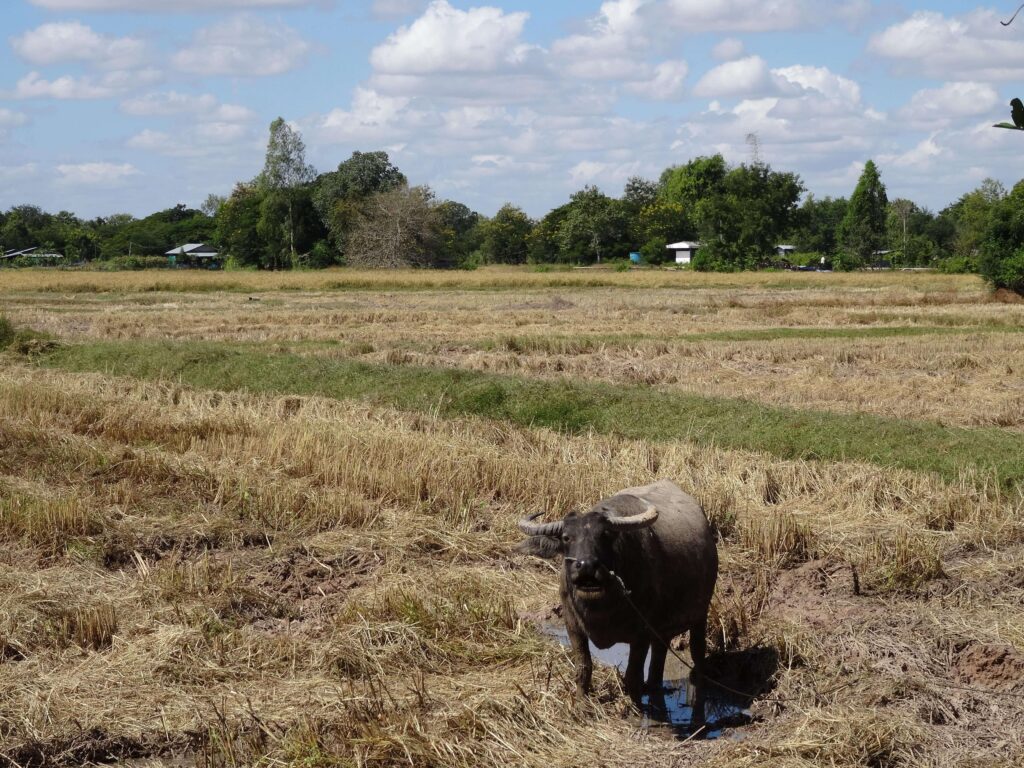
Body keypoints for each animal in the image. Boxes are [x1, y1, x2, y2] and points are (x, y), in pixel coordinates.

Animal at [516, 481, 716, 729]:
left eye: (605, 535)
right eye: (566, 537)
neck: (601, 608)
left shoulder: (640, 634)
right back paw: (654, 690)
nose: (586, 566)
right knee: (658, 658)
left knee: (697, 654)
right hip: (662, 628)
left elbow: (633, 674)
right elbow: (583, 668)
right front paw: (581, 704)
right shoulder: (572, 626)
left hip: (700, 615)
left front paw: (635, 710)